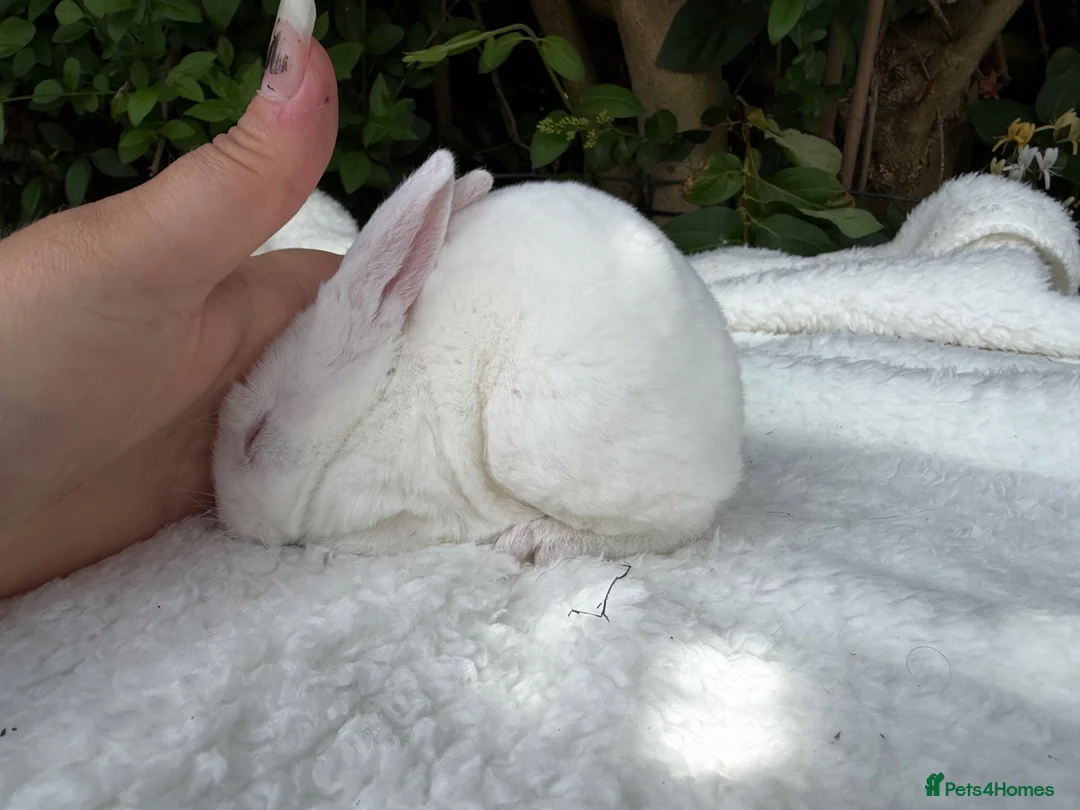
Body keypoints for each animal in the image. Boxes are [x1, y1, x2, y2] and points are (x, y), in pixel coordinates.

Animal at [213, 149, 745, 566]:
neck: (371, 400)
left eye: (256, 435)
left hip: (534, 441)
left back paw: (537, 541)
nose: (227, 513)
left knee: (674, 526)